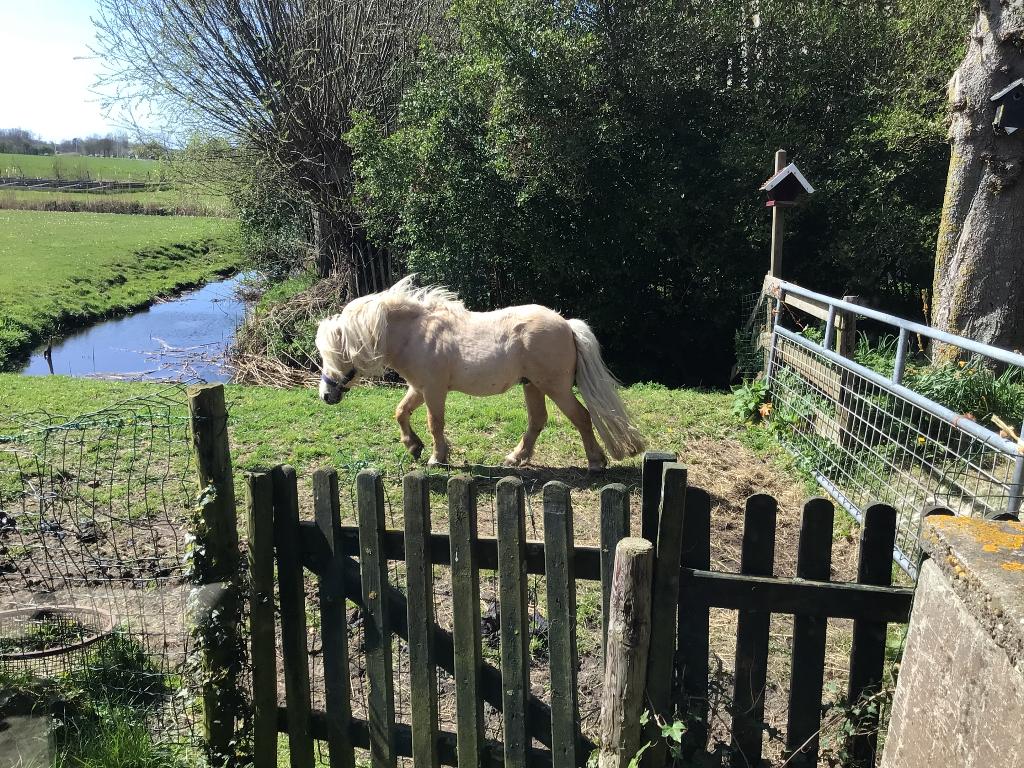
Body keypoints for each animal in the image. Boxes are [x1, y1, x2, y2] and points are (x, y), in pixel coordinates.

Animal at [315, 276, 646, 470]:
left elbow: (435, 423)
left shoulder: (433, 391)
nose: (326, 395)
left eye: (335, 353)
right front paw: (413, 446)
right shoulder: (419, 388)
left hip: (556, 388)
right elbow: (400, 412)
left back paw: (596, 462)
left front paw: (437, 457)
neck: (415, 334)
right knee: (537, 421)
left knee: (581, 417)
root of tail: (566, 324)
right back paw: (515, 458)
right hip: (532, 386)